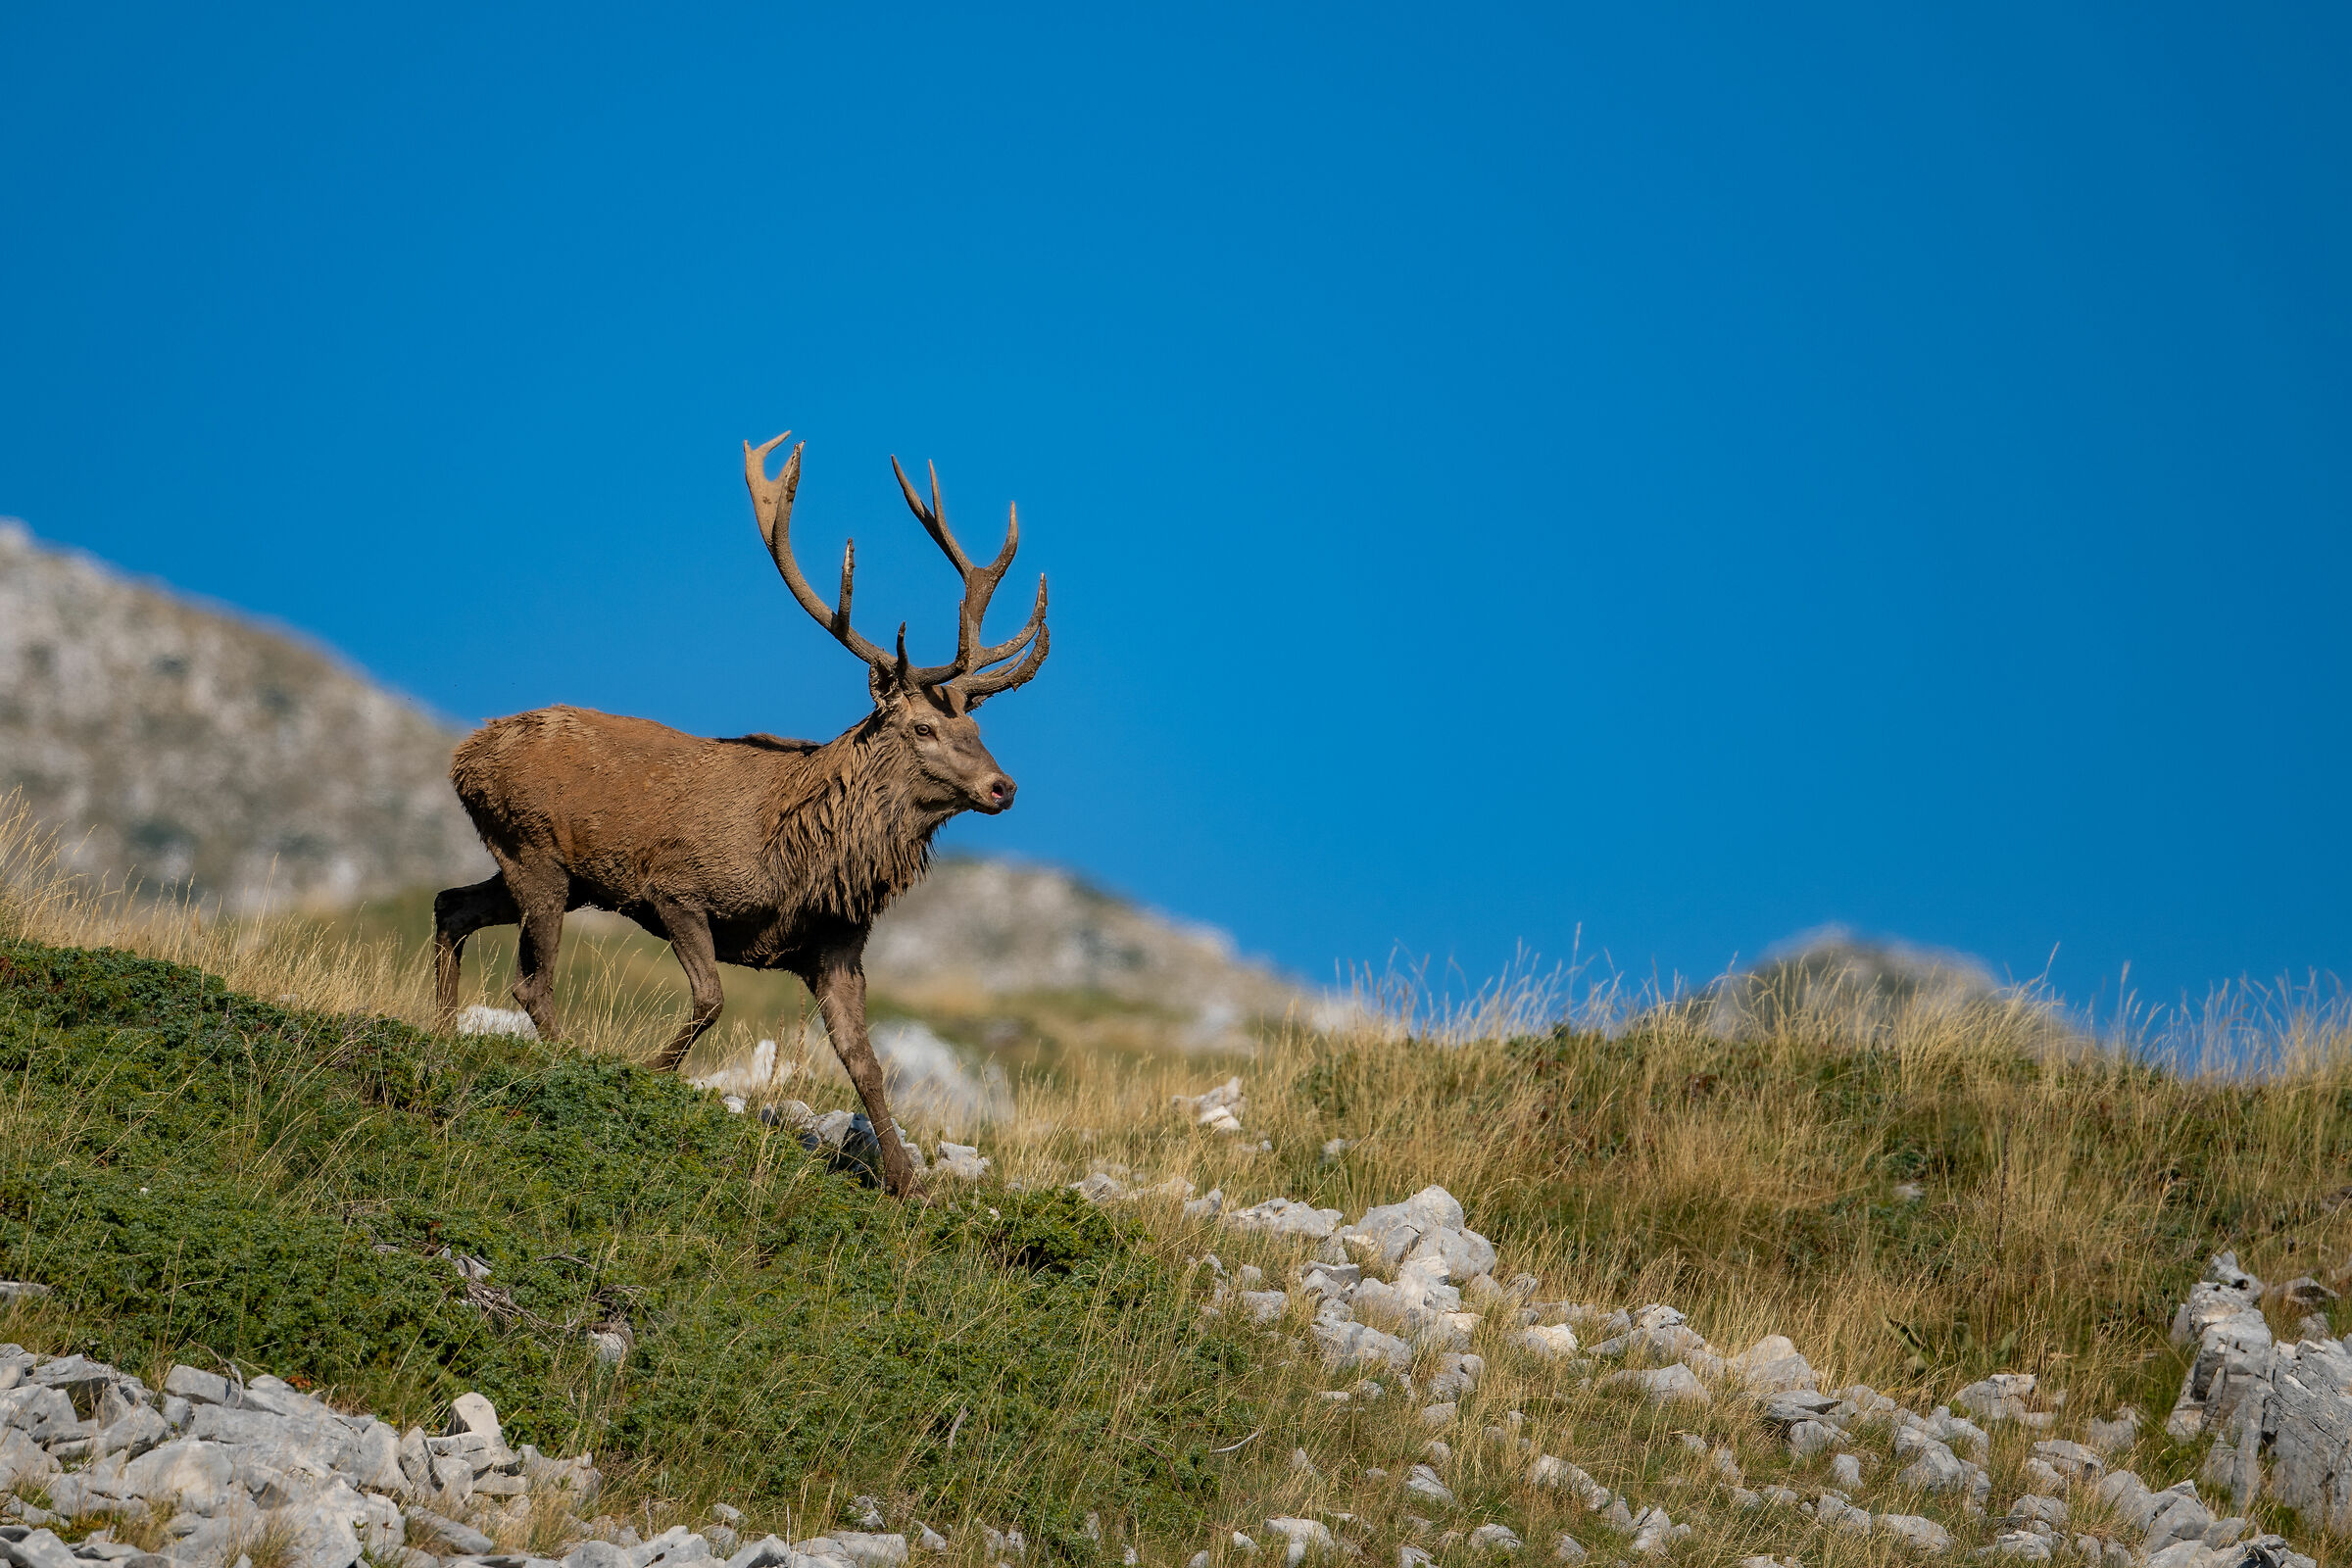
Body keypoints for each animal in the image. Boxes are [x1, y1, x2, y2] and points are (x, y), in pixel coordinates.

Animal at [431, 431, 1049, 1198]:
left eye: (977, 727)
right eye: (923, 728)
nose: (1003, 787)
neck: (799, 860)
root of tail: (465, 754)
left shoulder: (836, 948)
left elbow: (864, 1059)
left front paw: (907, 1182)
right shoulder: (676, 889)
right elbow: (712, 999)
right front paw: (649, 1070)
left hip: (538, 868)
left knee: (450, 905)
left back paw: (442, 1031)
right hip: (537, 853)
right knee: (530, 982)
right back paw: (567, 1058)